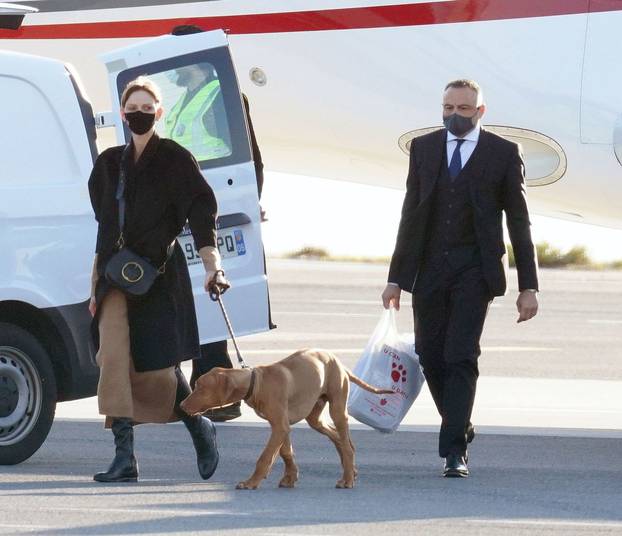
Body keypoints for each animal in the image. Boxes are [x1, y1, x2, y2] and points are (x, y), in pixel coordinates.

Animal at [182, 348, 394, 490]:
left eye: (200, 387)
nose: (181, 406)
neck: (256, 382)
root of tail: (338, 362)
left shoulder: (280, 426)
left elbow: (265, 456)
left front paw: (251, 482)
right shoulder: (280, 425)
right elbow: (285, 452)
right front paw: (290, 477)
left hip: (337, 408)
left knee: (346, 443)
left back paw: (348, 479)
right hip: (314, 417)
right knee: (340, 439)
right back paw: (351, 470)